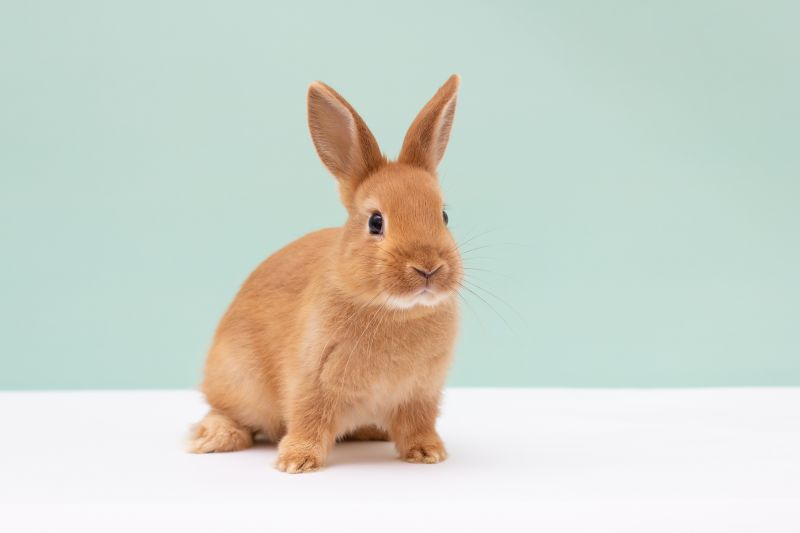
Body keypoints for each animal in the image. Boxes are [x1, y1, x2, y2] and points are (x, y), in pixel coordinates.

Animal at [188, 75, 463, 473]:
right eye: (375, 221)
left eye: (443, 216)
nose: (428, 267)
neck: (395, 311)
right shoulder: (311, 381)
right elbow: (308, 419)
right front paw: (296, 461)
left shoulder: (420, 394)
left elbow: (417, 423)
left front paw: (428, 453)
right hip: (237, 379)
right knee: (228, 412)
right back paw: (214, 438)